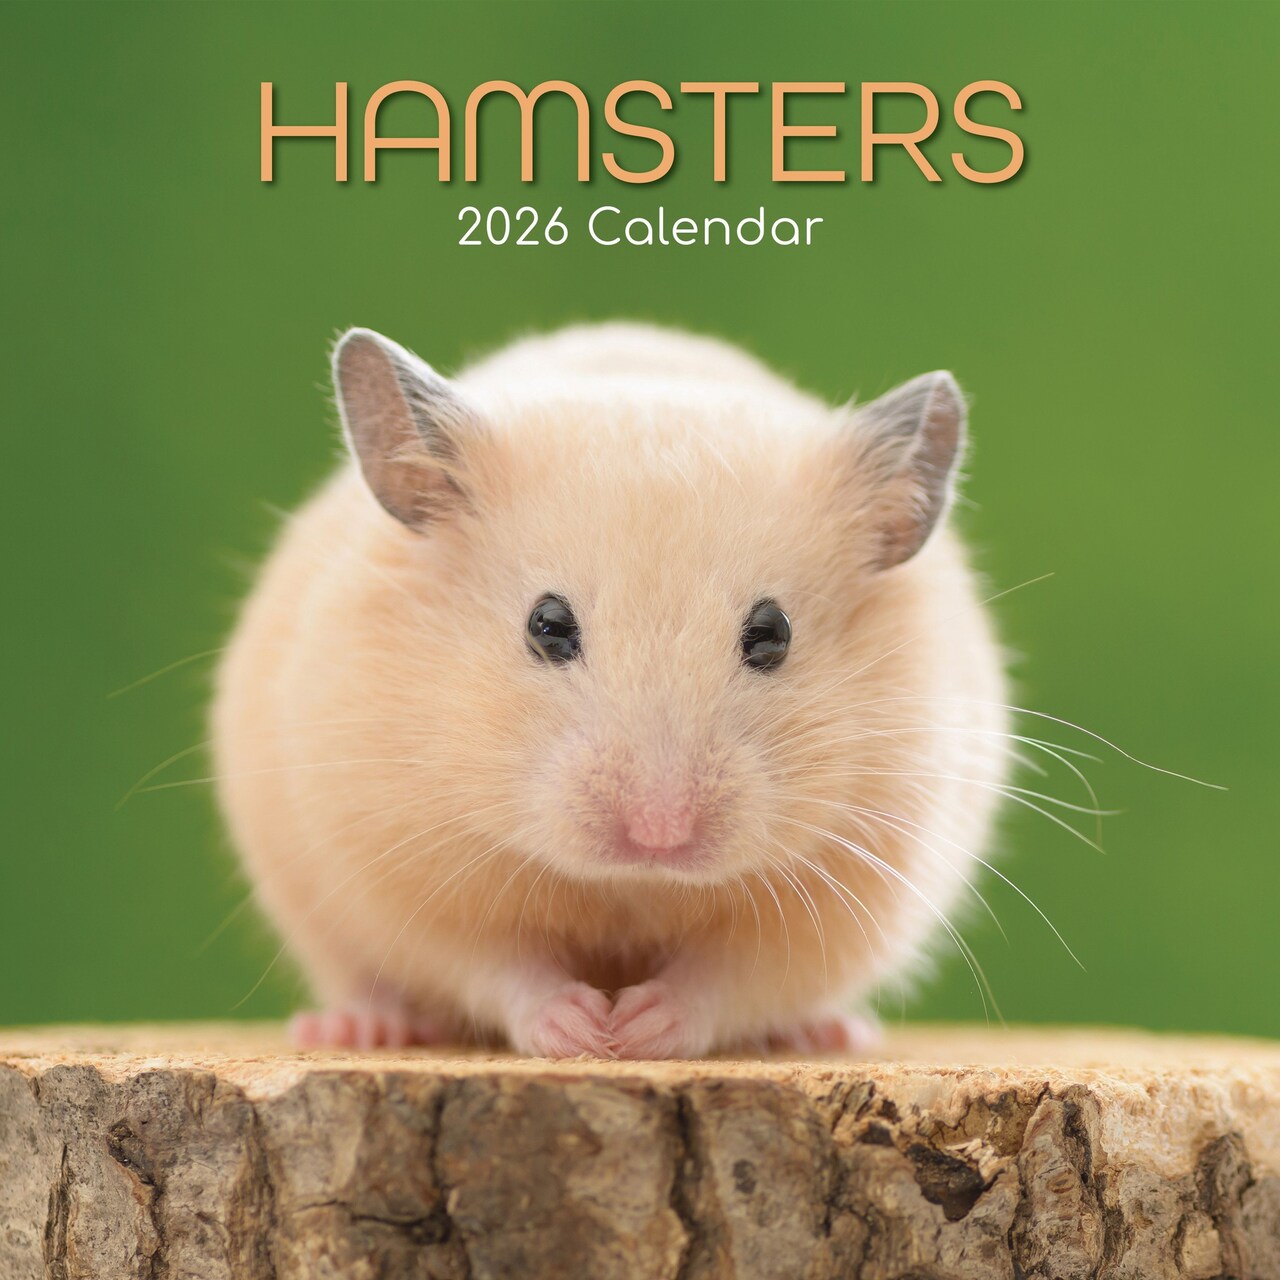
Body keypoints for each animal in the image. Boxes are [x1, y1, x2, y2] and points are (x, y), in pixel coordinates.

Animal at [212, 322, 1008, 1058]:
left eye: (773, 633)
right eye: (547, 624)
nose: (660, 833)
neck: (631, 886)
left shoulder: (847, 895)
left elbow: (730, 979)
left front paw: (638, 1030)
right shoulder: (401, 873)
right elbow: (497, 966)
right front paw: (585, 1031)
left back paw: (830, 1034)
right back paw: (361, 1028)